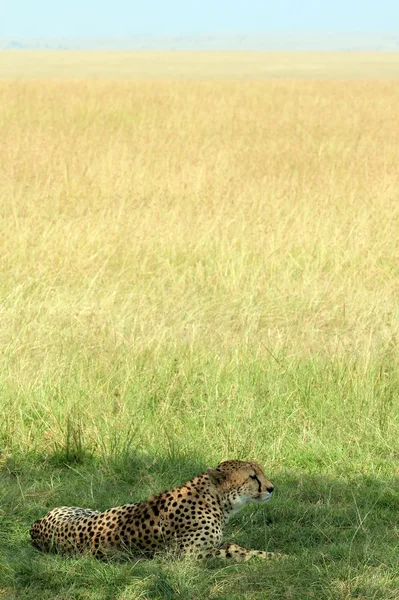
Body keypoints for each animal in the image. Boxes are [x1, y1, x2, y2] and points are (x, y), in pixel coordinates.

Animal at [30, 460, 278, 564]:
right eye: (252, 476)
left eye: (260, 472)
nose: (271, 488)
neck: (215, 501)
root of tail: (35, 525)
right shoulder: (187, 556)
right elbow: (238, 552)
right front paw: (277, 558)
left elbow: (235, 546)